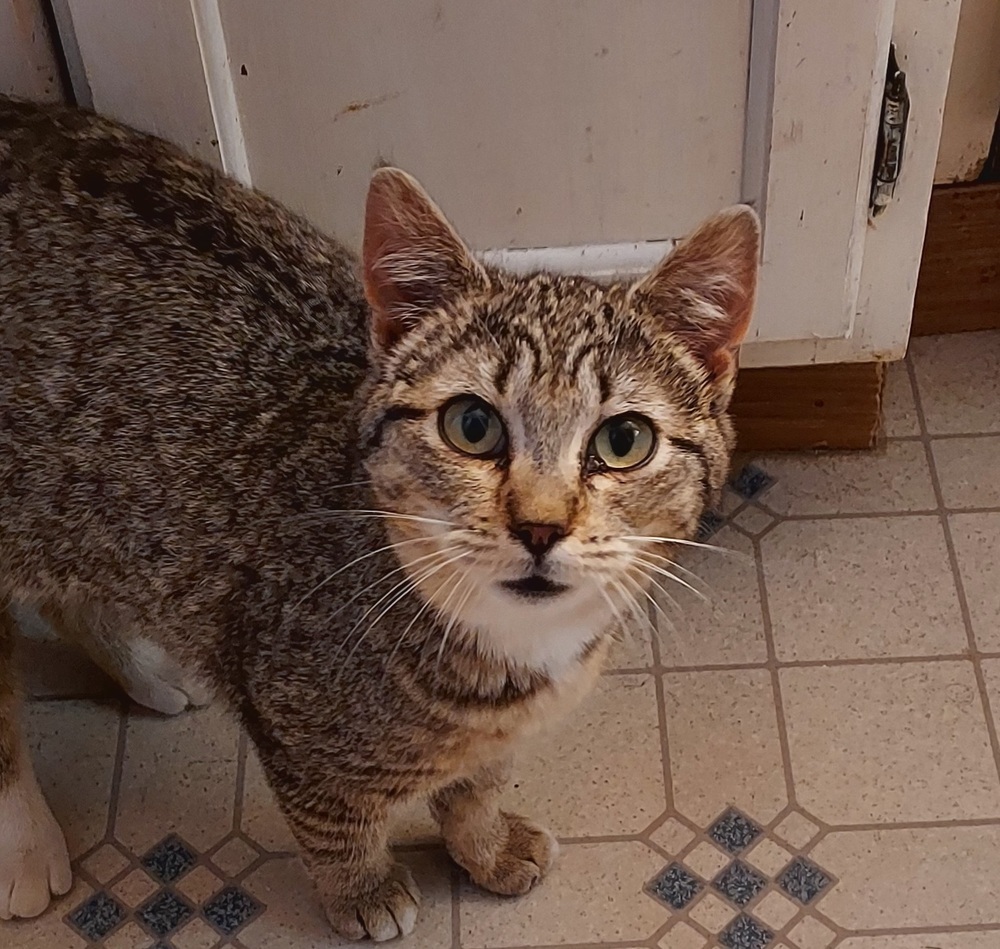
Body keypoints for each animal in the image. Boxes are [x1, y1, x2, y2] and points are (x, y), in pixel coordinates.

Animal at [0, 92, 760, 936]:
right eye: (472, 424)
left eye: (624, 439)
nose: (539, 524)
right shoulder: (290, 717)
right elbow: (333, 816)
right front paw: (361, 888)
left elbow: (476, 783)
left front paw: (483, 842)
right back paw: (27, 846)